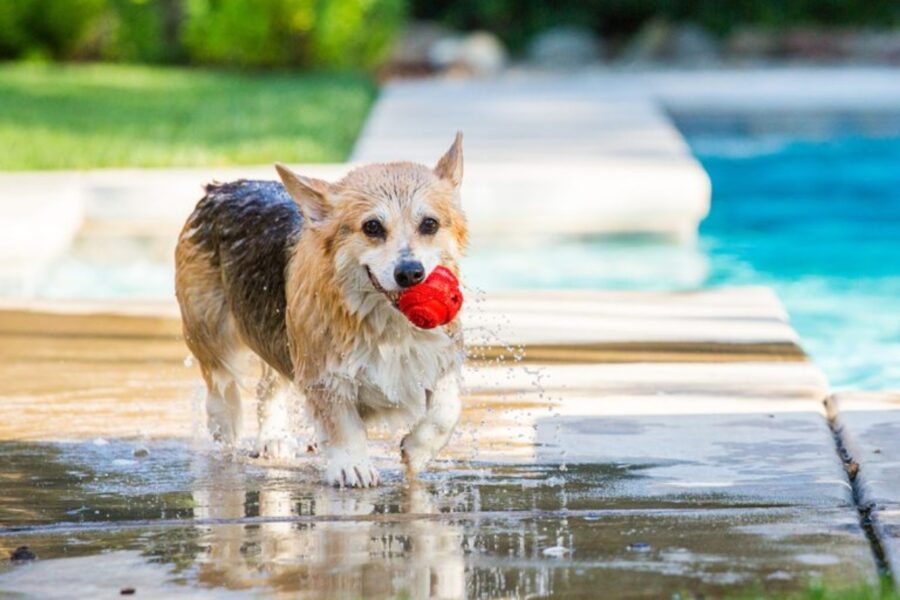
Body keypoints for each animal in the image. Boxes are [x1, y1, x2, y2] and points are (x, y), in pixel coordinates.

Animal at [177, 132, 472, 488]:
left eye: (429, 224)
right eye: (372, 227)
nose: (411, 273)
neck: (387, 326)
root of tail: (221, 187)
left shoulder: (440, 358)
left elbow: (447, 408)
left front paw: (418, 449)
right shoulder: (325, 374)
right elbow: (343, 425)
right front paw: (352, 465)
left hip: (278, 333)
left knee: (269, 385)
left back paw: (274, 437)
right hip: (210, 329)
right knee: (220, 381)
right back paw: (226, 423)